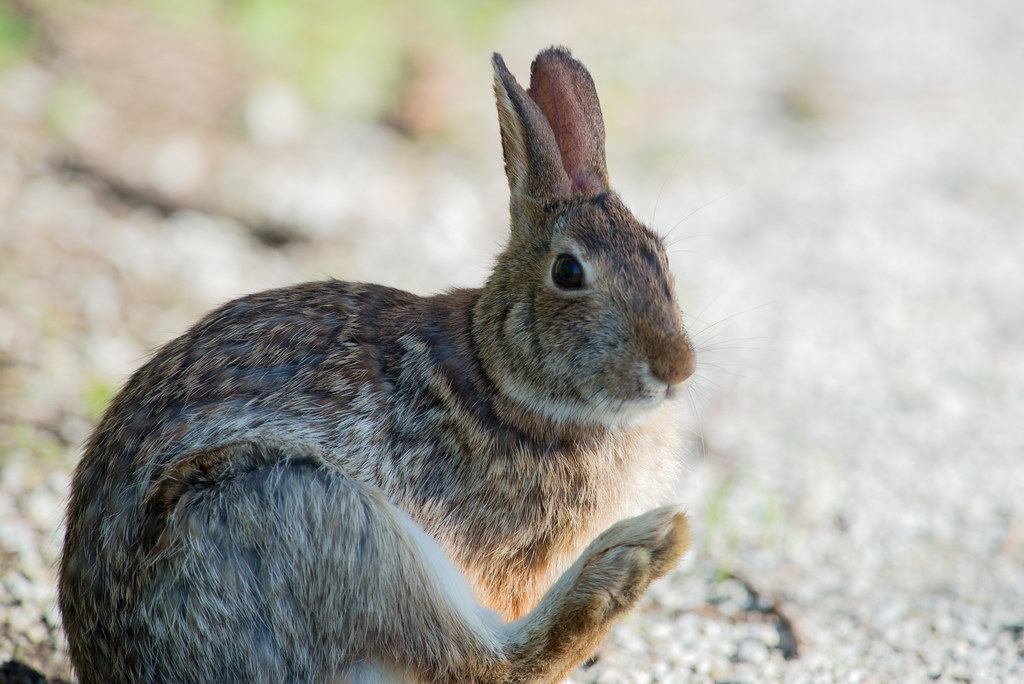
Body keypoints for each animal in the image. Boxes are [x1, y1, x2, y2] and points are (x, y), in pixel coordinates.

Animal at [58, 46, 696, 683]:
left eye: (661, 255)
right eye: (568, 272)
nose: (677, 369)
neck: (499, 377)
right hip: (305, 512)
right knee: (479, 659)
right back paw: (641, 552)